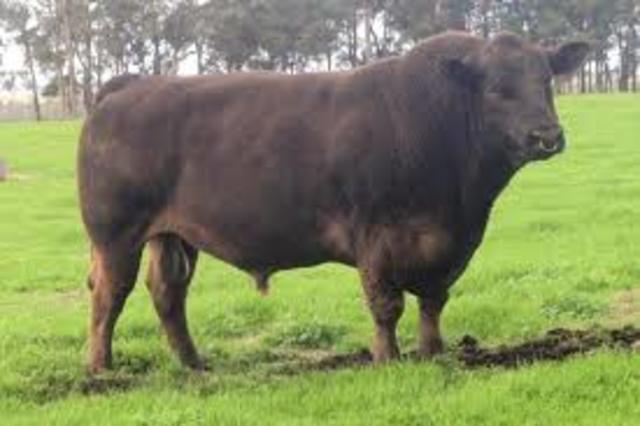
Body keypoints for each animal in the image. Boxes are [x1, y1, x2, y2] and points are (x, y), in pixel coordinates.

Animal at [78, 31, 589, 374]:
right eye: (496, 89)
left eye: (547, 81)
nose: (547, 136)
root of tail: (132, 85)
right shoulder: (375, 236)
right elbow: (386, 304)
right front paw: (388, 359)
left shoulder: (446, 244)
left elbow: (432, 301)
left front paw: (432, 352)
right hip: (116, 236)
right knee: (109, 295)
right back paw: (102, 369)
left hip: (173, 236)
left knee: (167, 292)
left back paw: (193, 363)